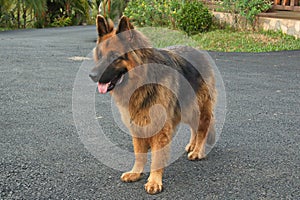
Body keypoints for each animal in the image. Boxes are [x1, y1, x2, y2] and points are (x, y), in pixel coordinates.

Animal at [89, 15, 218, 195]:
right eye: (99, 55)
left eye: (114, 56)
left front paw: (154, 181)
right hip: (186, 108)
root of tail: (198, 51)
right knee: (194, 127)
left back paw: (198, 150)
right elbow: (139, 153)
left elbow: (157, 158)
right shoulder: (137, 123)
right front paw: (136, 172)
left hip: (199, 107)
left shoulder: (160, 128)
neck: (143, 80)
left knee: (203, 128)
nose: (92, 75)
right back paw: (192, 145)